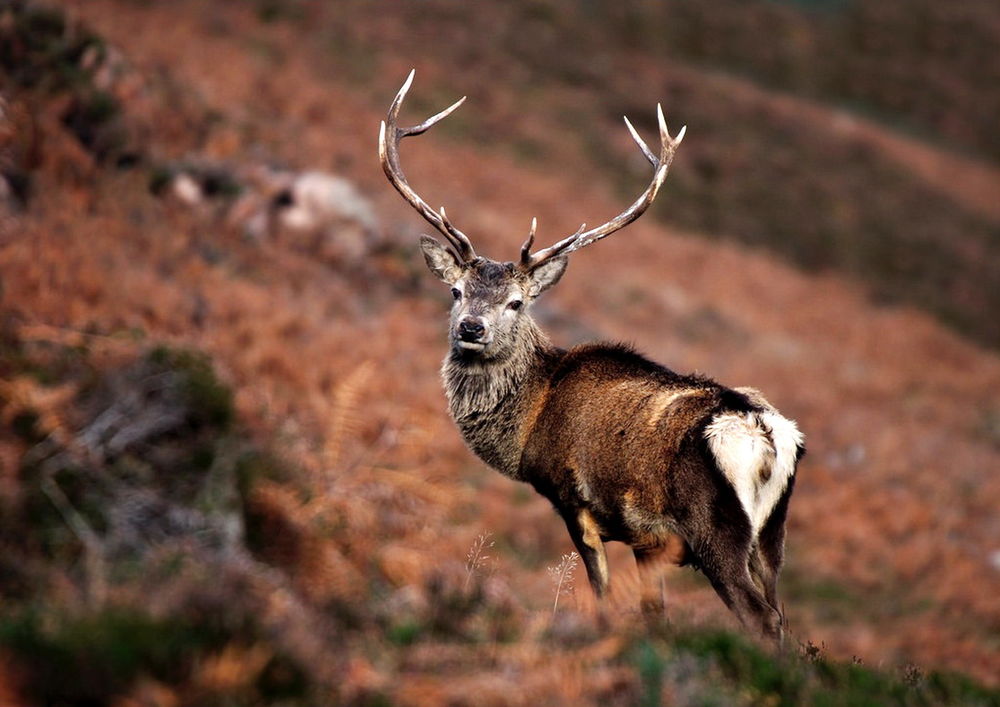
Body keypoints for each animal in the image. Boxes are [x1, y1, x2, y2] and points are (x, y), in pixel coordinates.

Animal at [379, 70, 805, 644]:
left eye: (516, 302)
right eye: (456, 291)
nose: (471, 328)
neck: (528, 423)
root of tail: (767, 435)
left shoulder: (573, 499)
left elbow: (602, 595)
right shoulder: (649, 539)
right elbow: (654, 613)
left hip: (716, 527)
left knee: (761, 619)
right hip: (772, 534)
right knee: (782, 615)